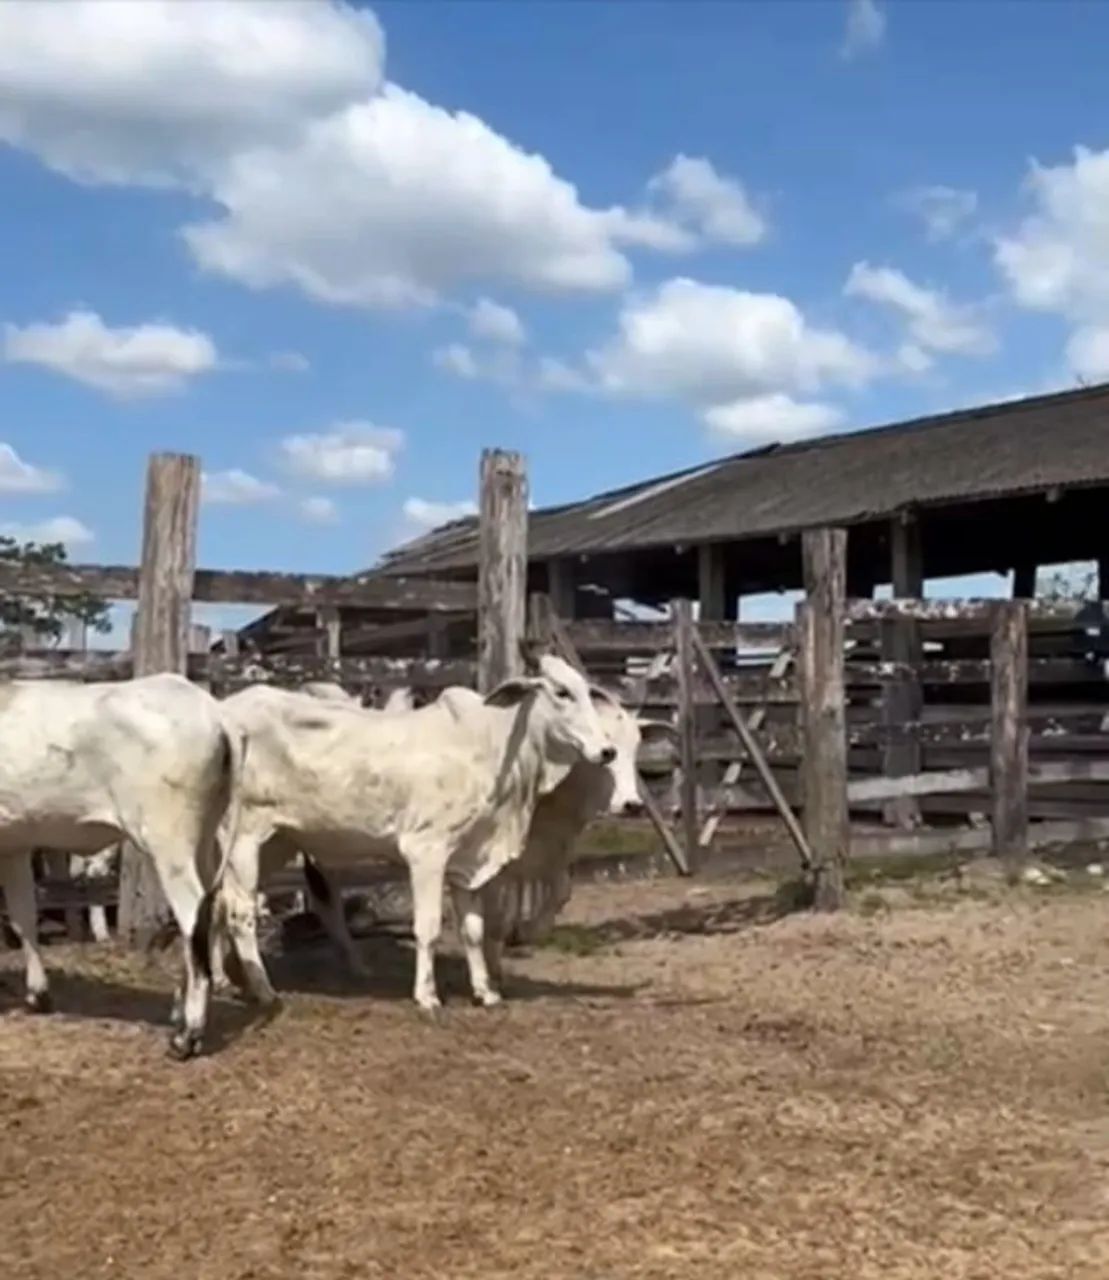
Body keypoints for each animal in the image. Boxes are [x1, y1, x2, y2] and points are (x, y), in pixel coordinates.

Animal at [0, 673, 244, 1060]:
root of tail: (213, 710)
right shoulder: (14, 842)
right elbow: (24, 915)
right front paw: (38, 995)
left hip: (168, 844)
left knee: (193, 915)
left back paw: (187, 1035)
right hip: (203, 839)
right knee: (213, 905)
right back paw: (179, 1012)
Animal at [214, 650, 614, 1011]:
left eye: (586, 690)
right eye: (562, 692)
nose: (607, 750)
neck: (490, 745)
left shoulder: (467, 860)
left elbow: (472, 930)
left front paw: (485, 992)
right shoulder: (427, 851)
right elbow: (429, 927)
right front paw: (427, 996)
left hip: (275, 842)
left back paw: (227, 980)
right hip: (244, 839)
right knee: (239, 914)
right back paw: (264, 991)